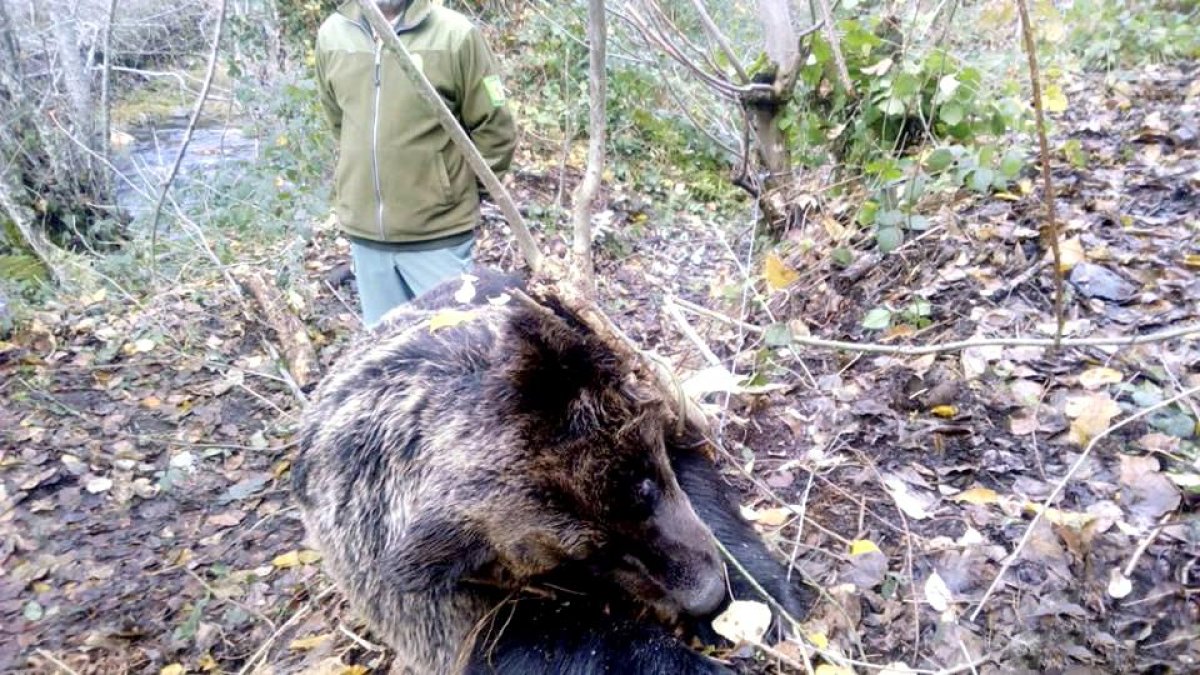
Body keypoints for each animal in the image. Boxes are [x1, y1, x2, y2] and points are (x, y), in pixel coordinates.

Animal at [292, 269, 811, 674]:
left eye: (643, 485)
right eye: (589, 557)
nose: (707, 594)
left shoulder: (656, 416)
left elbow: (705, 495)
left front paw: (764, 604)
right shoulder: (427, 589)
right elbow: (541, 643)